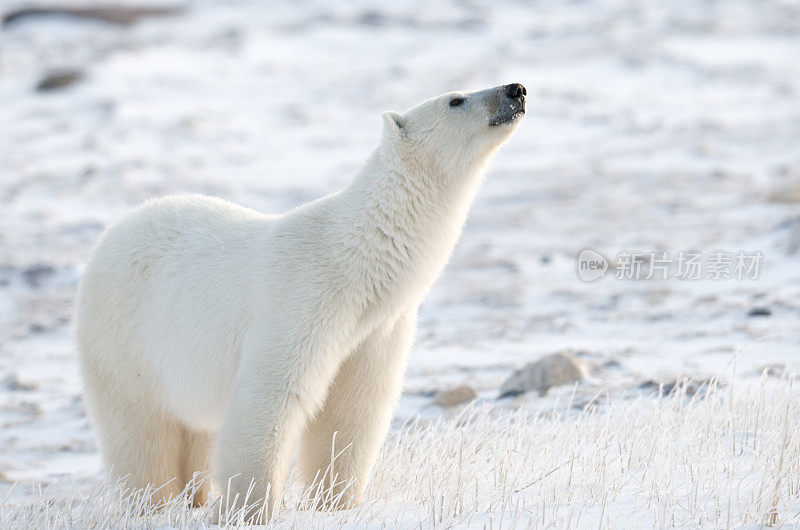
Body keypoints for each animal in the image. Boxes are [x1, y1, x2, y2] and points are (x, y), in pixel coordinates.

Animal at [75, 82, 524, 520]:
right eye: (456, 99)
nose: (515, 89)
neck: (358, 258)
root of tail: (109, 237)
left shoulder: (376, 328)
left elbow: (353, 408)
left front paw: (337, 502)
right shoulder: (303, 298)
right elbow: (271, 395)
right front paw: (248, 510)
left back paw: (195, 497)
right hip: (122, 338)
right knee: (140, 430)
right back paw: (151, 503)